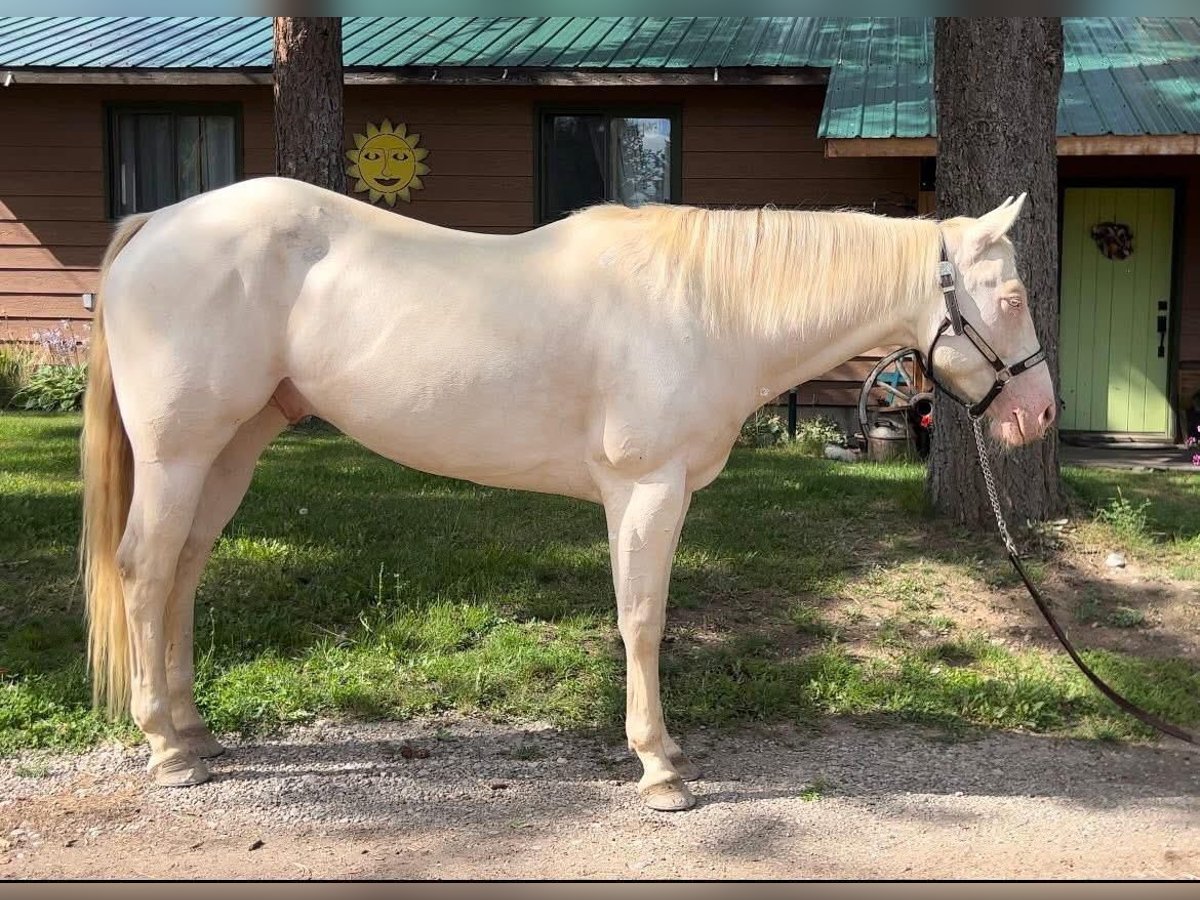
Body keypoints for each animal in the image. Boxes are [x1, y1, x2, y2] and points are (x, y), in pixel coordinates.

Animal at [80, 177, 1056, 811]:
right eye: (1010, 296)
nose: (1040, 413)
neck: (708, 307)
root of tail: (157, 224)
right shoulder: (646, 490)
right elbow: (642, 620)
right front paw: (660, 770)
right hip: (178, 454)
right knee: (145, 571)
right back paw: (167, 750)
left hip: (230, 450)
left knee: (183, 573)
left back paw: (194, 733)